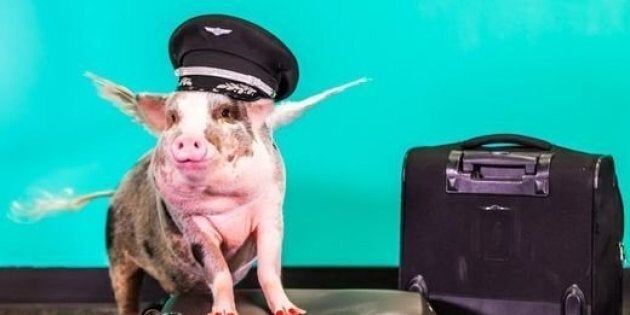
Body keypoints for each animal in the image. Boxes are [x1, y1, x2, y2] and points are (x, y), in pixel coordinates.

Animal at [8, 74, 366, 315]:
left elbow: (269, 268)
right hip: (117, 254)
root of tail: (117, 188)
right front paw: (223, 312)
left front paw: (290, 310)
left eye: (226, 113)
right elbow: (218, 269)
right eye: (172, 118)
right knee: (125, 293)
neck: (228, 204)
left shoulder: (270, 214)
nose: (187, 139)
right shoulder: (192, 225)